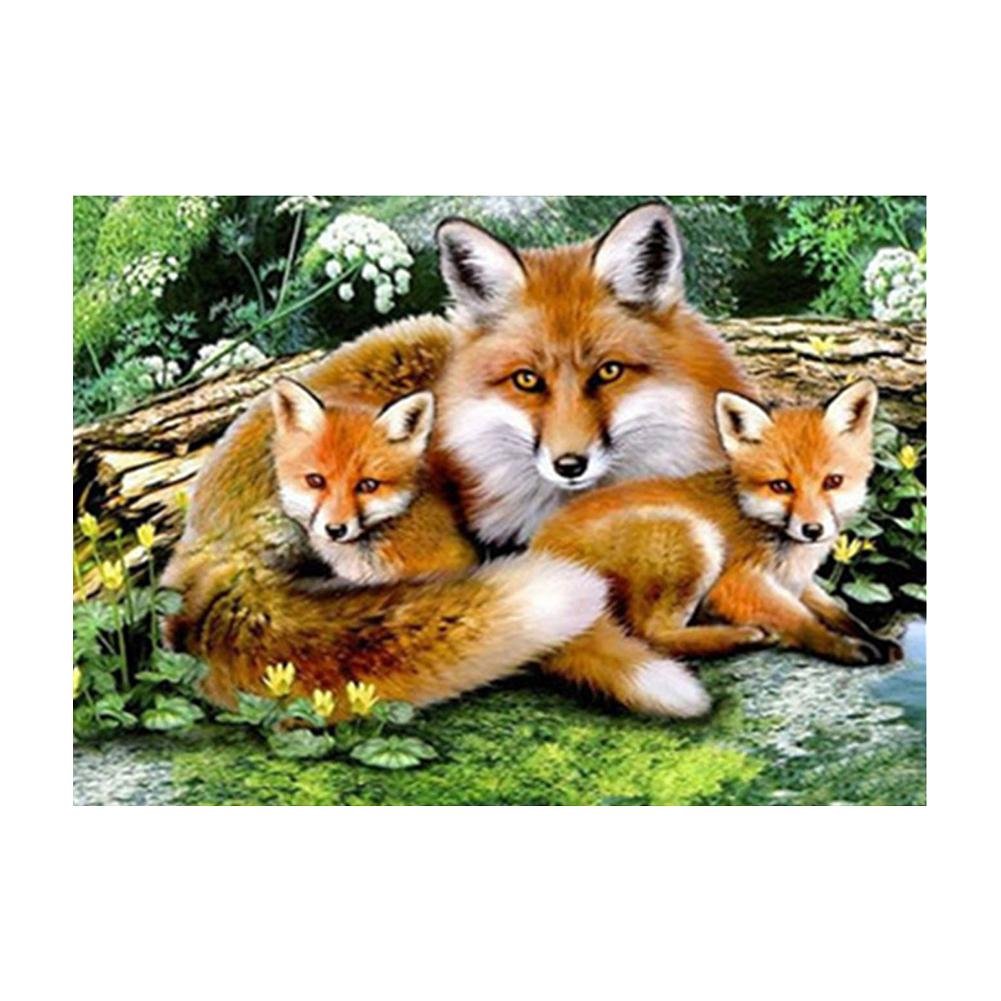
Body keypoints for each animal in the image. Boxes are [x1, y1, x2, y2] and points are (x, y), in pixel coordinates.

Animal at [529, 379, 904, 718]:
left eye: (833, 481)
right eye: (781, 486)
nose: (813, 530)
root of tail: (540, 553)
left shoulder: (796, 582)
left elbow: (838, 612)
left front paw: (873, 638)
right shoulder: (736, 582)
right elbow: (802, 621)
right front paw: (842, 647)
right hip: (695, 538)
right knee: (652, 636)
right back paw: (742, 636)